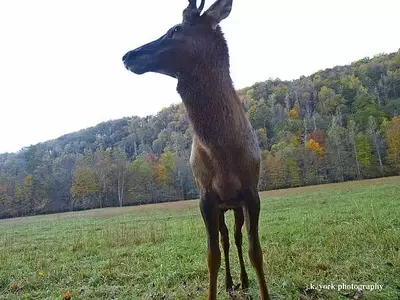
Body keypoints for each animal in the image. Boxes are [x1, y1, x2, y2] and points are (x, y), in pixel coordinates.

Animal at [122, 0, 270, 300]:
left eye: (175, 29)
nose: (128, 55)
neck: (222, 153)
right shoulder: (206, 196)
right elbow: (212, 256)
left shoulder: (251, 192)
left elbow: (256, 252)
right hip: (223, 207)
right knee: (226, 239)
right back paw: (230, 282)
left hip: (235, 205)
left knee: (236, 237)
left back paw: (242, 280)